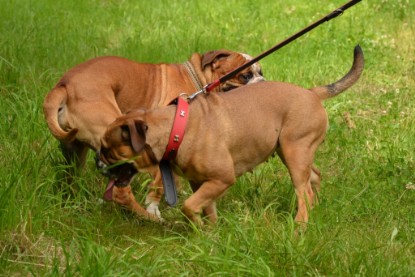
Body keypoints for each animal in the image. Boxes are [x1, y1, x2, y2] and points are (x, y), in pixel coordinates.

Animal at [44, 49, 264, 218]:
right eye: (245, 75)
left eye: (261, 72)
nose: (263, 80)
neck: (199, 79)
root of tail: (64, 85)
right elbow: (160, 181)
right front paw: (154, 207)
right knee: (121, 192)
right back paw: (148, 217)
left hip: (73, 153)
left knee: (70, 180)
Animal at [97, 45, 364, 224]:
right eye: (245, 75)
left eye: (108, 149)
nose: (97, 160)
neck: (176, 127)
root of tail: (312, 92)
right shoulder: (202, 183)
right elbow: (205, 208)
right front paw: (208, 234)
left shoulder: (222, 179)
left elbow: (188, 205)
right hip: (292, 152)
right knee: (314, 178)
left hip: (295, 154)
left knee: (304, 192)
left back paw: (299, 225)